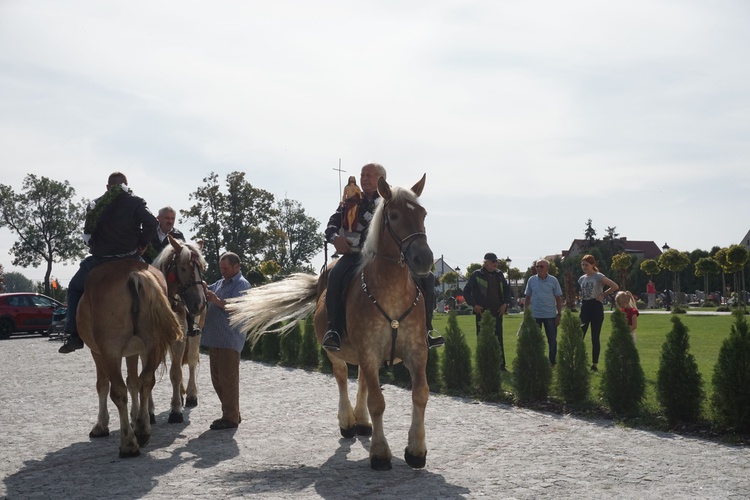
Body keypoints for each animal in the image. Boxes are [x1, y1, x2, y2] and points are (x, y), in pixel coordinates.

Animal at [76, 258, 184, 458]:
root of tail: (134, 275)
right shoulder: (133, 351)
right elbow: (134, 382)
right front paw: (136, 418)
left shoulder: (98, 352)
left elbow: (103, 385)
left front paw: (101, 425)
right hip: (152, 346)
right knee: (146, 381)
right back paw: (142, 430)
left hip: (110, 351)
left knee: (118, 392)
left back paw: (128, 444)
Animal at [151, 236, 207, 424]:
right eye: (183, 268)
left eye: (201, 268)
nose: (199, 304)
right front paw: (148, 412)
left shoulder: (179, 339)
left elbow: (176, 373)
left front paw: (175, 411)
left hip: (196, 334)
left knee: (191, 361)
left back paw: (190, 395)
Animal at [232, 175, 438, 468]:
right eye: (394, 216)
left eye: (422, 214)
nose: (424, 259)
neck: (392, 292)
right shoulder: (369, 352)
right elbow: (378, 402)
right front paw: (379, 453)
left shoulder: (417, 353)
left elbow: (420, 394)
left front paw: (416, 450)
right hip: (336, 351)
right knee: (342, 378)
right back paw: (348, 422)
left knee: (362, 381)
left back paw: (362, 422)